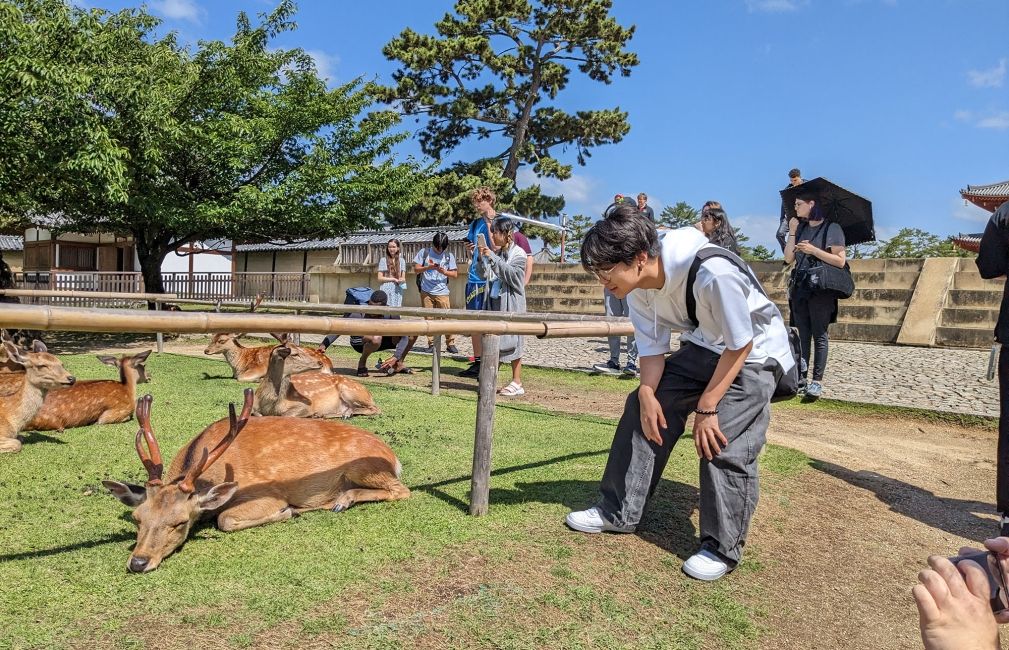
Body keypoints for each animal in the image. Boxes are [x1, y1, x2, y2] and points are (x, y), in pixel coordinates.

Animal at [102, 387, 409, 573]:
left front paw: (288, 511)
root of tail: (394, 457)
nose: (138, 562)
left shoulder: (268, 494)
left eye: (179, 522)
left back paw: (340, 500)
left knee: (402, 490)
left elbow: (225, 519)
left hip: (365, 468)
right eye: (137, 518)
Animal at [202, 335, 332, 381]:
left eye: (221, 340)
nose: (206, 350)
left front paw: (259, 379)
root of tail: (327, 363)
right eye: (211, 338)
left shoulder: (258, 368)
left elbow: (241, 378)